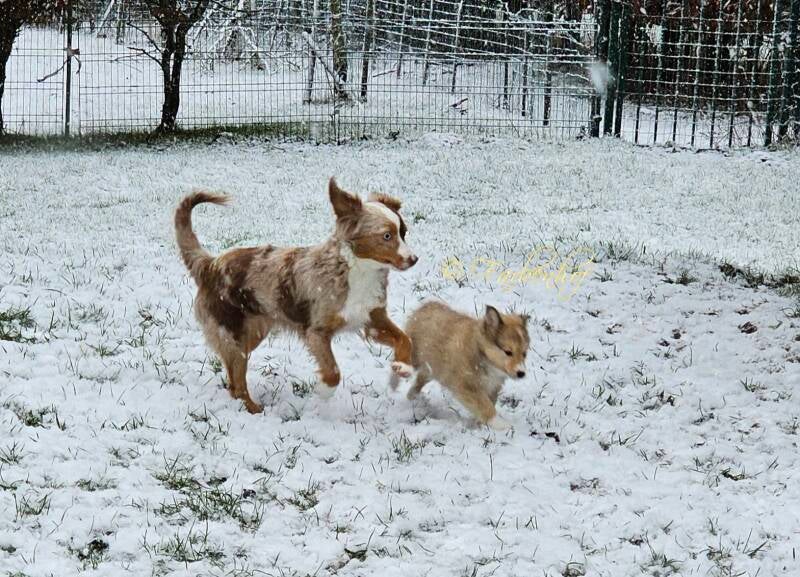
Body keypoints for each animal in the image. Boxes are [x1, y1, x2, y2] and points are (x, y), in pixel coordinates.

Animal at [175, 178, 417, 413]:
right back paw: (253, 409)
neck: (358, 270)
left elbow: (405, 338)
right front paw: (323, 392)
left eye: (404, 232)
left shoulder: (372, 318)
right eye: (386, 235)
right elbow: (333, 371)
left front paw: (403, 366)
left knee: (233, 381)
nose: (414, 259)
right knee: (238, 381)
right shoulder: (316, 332)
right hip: (232, 334)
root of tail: (210, 264)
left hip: (252, 333)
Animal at [390, 301, 529, 430]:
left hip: (433, 368)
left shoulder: (492, 387)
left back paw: (413, 396)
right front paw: (501, 425)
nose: (521, 373)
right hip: (415, 354)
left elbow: (488, 404)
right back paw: (394, 382)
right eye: (508, 352)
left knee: (420, 379)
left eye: (524, 353)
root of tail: (428, 304)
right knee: (399, 362)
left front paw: (478, 424)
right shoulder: (466, 386)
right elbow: (484, 405)